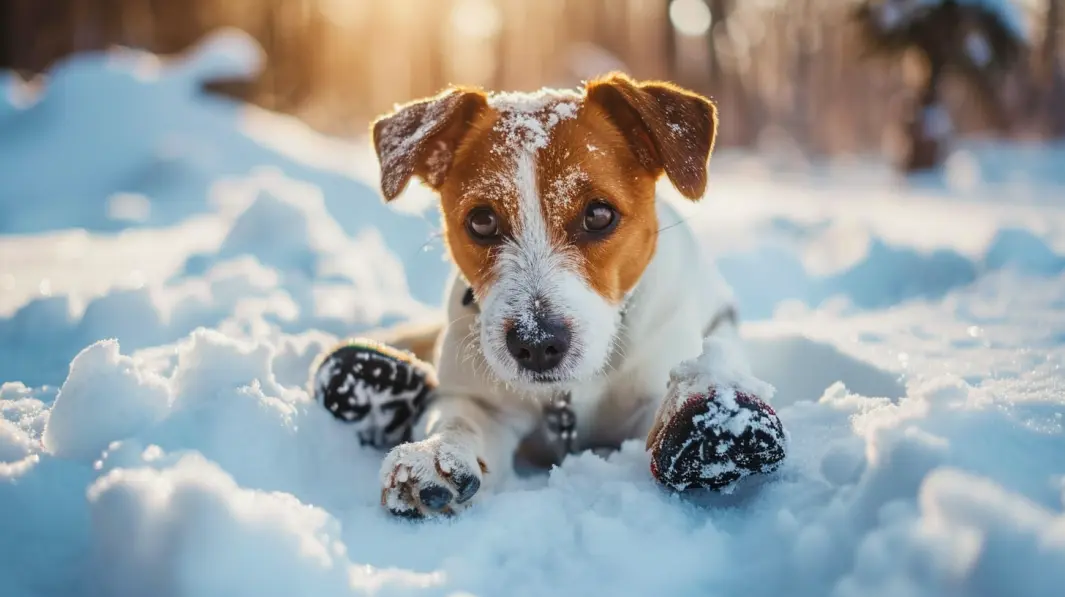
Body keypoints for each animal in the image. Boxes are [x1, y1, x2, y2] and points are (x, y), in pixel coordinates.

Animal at [338, 72, 783, 515]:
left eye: (599, 215)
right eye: (481, 221)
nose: (536, 344)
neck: (567, 395)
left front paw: (705, 427)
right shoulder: (482, 400)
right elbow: (457, 418)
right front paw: (431, 456)